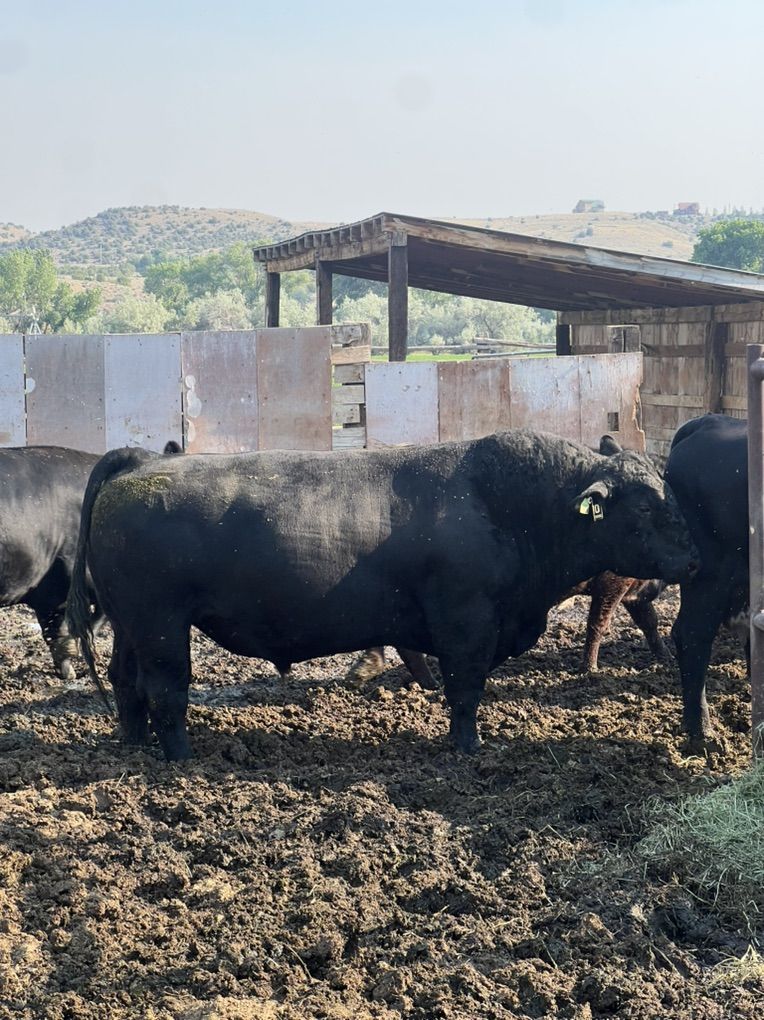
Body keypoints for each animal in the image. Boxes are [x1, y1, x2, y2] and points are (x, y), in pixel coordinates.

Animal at [66, 430, 697, 762]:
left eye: (670, 492)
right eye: (645, 506)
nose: (694, 556)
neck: (505, 505)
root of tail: (141, 463)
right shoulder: (467, 625)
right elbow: (464, 691)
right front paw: (468, 747)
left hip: (131, 623)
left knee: (126, 682)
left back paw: (133, 741)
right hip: (160, 624)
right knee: (165, 689)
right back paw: (178, 755)